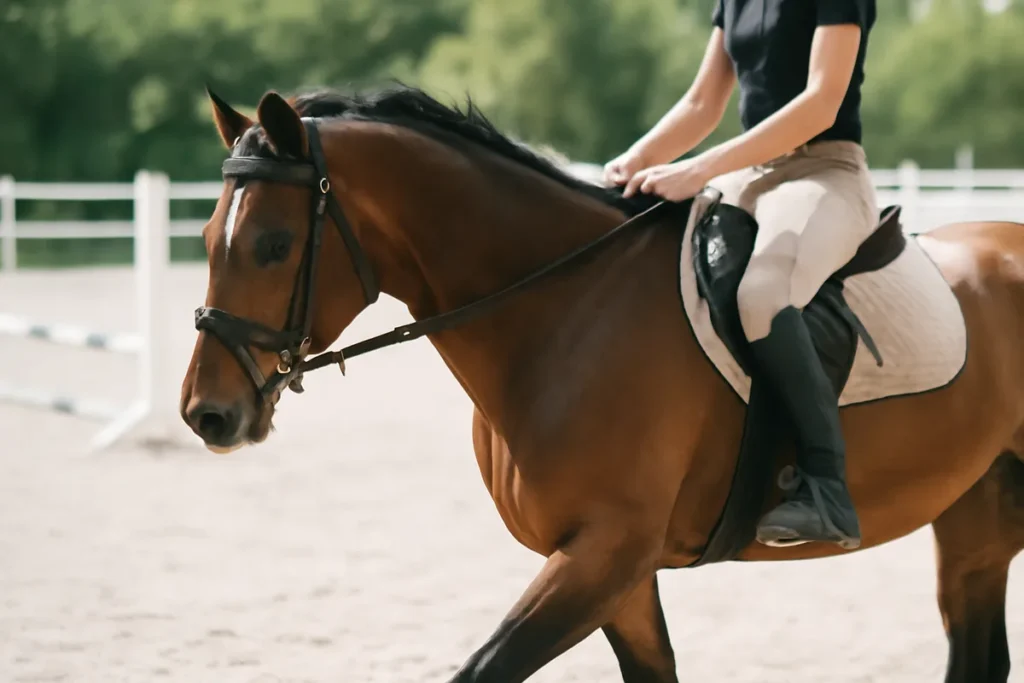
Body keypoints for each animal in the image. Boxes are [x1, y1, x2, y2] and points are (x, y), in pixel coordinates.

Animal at [179, 83, 1024, 683]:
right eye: (206, 236)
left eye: (274, 243)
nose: (206, 415)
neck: (564, 307)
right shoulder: (614, 569)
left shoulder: (606, 551)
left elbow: (482, 669)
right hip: (976, 525)